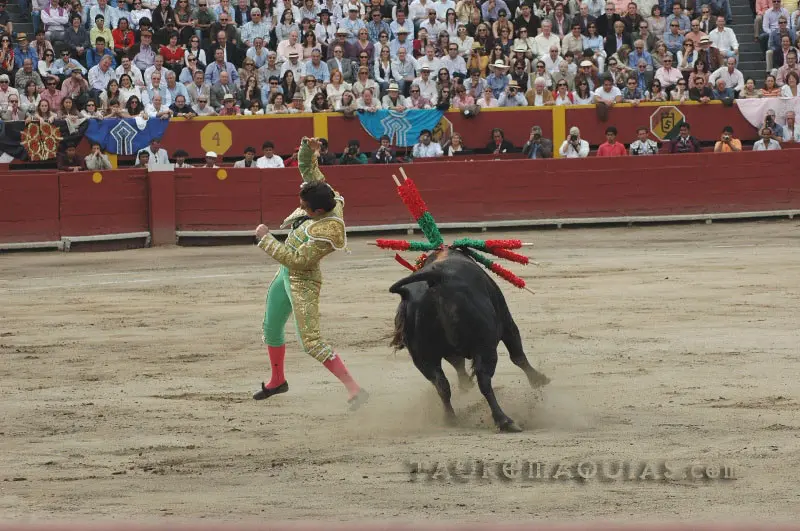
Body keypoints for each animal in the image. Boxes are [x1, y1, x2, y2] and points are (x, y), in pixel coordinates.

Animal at [388, 247, 552, 434]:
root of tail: (436, 279)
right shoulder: (507, 322)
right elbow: (518, 356)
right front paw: (539, 380)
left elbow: (457, 364)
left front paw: (465, 383)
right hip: (485, 346)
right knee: (484, 380)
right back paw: (505, 421)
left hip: (423, 358)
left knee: (441, 384)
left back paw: (451, 418)